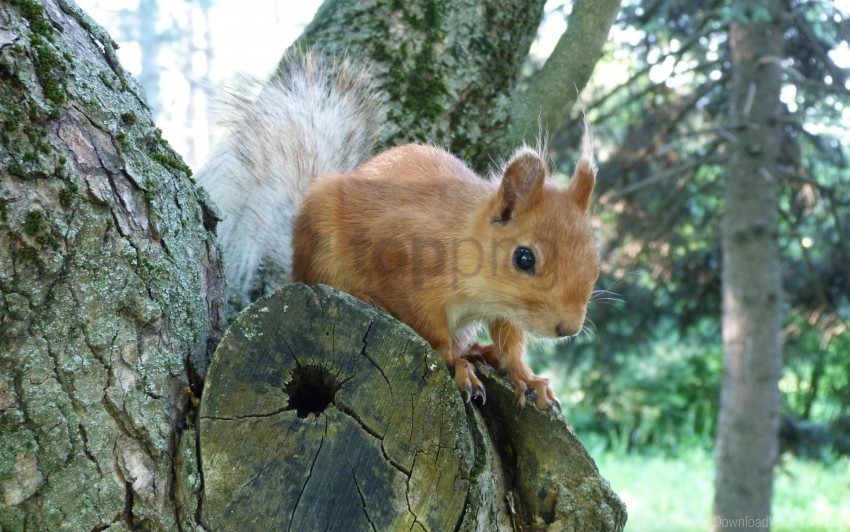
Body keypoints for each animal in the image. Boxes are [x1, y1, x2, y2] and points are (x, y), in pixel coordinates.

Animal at [197, 53, 596, 412]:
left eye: (595, 258)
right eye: (524, 258)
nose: (568, 329)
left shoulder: (505, 311)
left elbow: (511, 343)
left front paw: (527, 377)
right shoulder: (402, 265)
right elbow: (428, 328)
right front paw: (456, 364)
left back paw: (480, 351)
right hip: (322, 257)